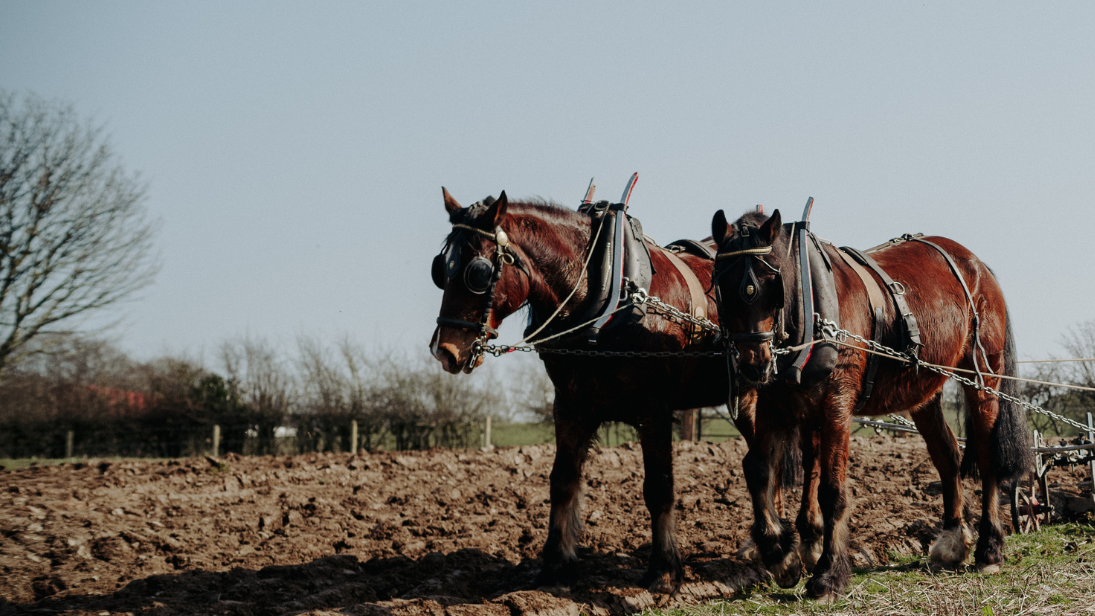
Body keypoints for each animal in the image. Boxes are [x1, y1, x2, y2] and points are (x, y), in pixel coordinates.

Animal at [422, 189, 748, 590]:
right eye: (441, 269)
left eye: (478, 272)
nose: (444, 351)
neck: (606, 297)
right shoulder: (571, 406)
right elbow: (562, 481)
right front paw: (555, 564)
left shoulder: (654, 410)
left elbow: (658, 487)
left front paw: (664, 570)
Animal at [705, 206, 1029, 603]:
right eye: (722, 285)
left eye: (772, 283)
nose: (753, 366)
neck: (810, 308)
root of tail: (977, 265)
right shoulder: (773, 404)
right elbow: (758, 470)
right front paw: (780, 555)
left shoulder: (836, 404)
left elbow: (831, 489)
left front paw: (828, 575)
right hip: (924, 390)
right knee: (947, 455)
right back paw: (953, 540)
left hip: (983, 377)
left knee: (985, 454)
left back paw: (989, 549)